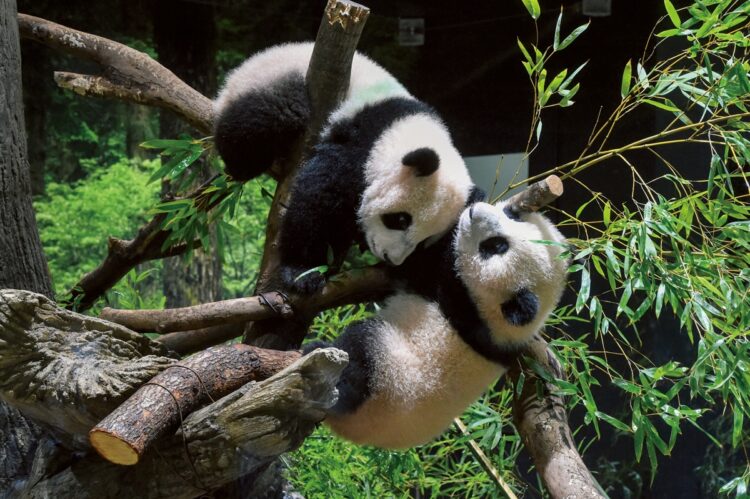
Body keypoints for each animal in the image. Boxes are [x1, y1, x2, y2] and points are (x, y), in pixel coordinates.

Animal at [214, 44, 476, 292]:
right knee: (267, 117)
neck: (406, 129)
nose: (391, 258)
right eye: (400, 220)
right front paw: (304, 272)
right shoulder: (362, 141)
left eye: (424, 241)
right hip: (272, 80)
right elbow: (319, 195)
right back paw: (243, 165)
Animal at [302, 199, 568, 450]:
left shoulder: (458, 297)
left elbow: (419, 265)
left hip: (386, 378)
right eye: (511, 215)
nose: (474, 212)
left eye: (494, 246)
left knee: (358, 357)